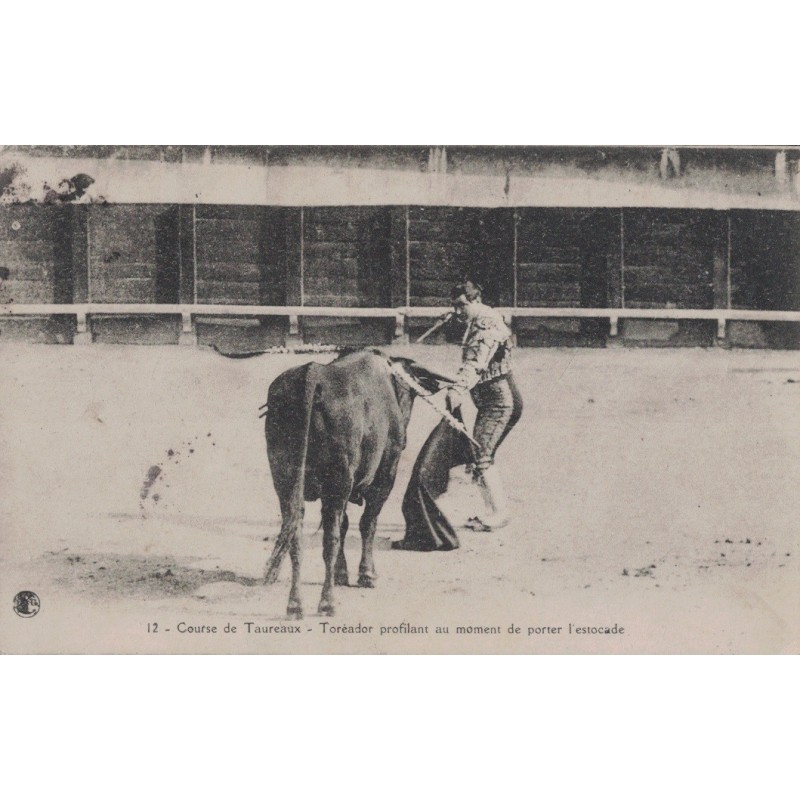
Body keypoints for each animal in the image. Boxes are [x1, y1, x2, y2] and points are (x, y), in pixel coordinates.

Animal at [262, 350, 450, 620]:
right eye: (409, 393)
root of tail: (313, 374)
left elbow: (345, 524)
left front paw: (342, 573)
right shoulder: (385, 476)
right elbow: (367, 523)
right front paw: (367, 574)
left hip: (284, 478)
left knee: (296, 531)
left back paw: (295, 604)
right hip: (338, 481)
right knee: (329, 540)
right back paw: (327, 602)